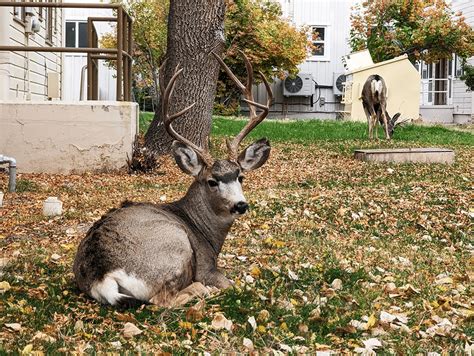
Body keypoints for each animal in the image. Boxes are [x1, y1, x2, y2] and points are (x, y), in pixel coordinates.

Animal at [73, 51, 274, 308]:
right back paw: (201, 290)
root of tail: (103, 276)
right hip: (176, 246)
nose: (240, 205)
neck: (207, 233)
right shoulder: (207, 267)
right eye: (212, 181)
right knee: (164, 299)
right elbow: (235, 282)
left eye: (241, 176)